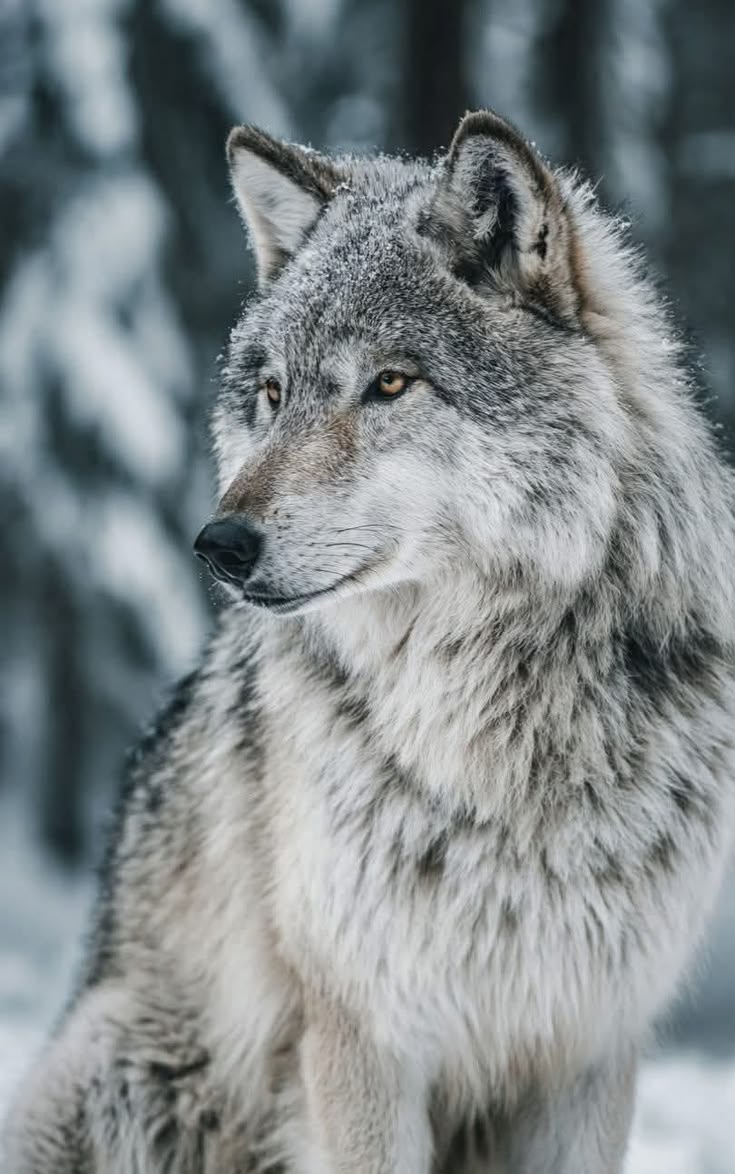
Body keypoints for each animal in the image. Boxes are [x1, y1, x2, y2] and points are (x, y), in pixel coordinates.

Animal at [4, 108, 735, 1173]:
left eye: (389, 383)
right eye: (271, 394)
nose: (218, 544)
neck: (504, 736)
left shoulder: (589, 1048)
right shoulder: (362, 1038)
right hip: (125, 1070)